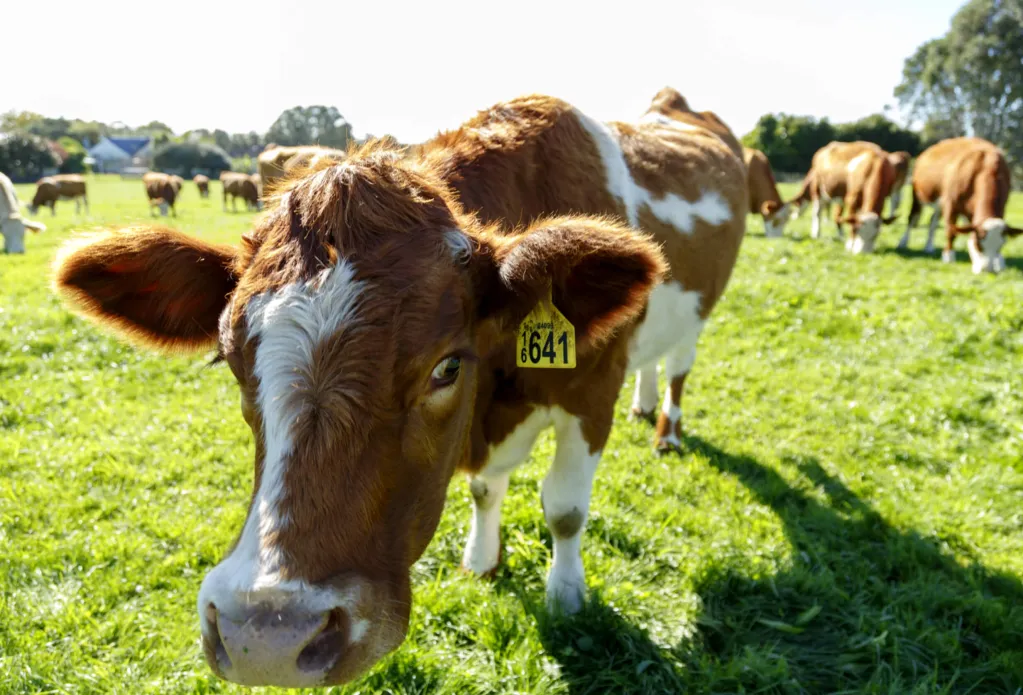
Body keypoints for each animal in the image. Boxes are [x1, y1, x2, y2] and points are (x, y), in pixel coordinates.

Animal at [53, 90, 746, 687]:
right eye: (229, 360)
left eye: (447, 367)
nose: (268, 635)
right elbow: (484, 488)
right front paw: (481, 557)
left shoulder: (592, 391)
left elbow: (565, 509)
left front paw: (565, 594)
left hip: (701, 312)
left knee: (679, 365)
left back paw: (667, 429)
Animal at [898, 137, 1021, 273]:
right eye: (979, 244)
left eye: (1001, 246)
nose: (987, 270)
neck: (986, 167)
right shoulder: (951, 205)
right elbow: (951, 232)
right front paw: (949, 256)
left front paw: (999, 262)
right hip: (918, 195)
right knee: (912, 218)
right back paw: (903, 242)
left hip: (940, 205)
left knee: (933, 222)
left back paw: (929, 246)